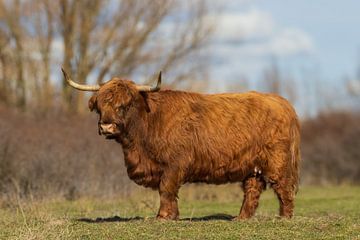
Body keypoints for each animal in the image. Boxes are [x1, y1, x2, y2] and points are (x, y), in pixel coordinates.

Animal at [62, 68, 300, 220]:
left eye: (125, 105)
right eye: (101, 105)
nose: (107, 127)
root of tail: (280, 101)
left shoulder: (174, 164)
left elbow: (166, 188)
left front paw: (163, 216)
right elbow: (167, 191)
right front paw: (172, 215)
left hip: (277, 162)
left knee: (284, 187)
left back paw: (284, 217)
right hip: (253, 167)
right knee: (252, 190)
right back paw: (240, 218)